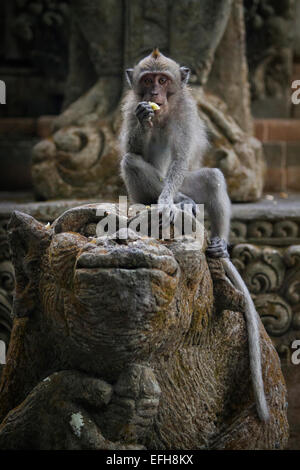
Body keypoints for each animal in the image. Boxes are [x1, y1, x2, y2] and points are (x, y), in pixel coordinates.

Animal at [119, 49, 270, 424]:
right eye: (147, 80)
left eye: (163, 80)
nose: (154, 95)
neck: (164, 112)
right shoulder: (129, 108)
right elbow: (134, 148)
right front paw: (144, 119)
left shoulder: (186, 114)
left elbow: (180, 158)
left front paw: (169, 201)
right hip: (136, 192)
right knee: (131, 162)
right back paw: (175, 202)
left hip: (194, 183)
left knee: (211, 177)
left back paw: (211, 235)